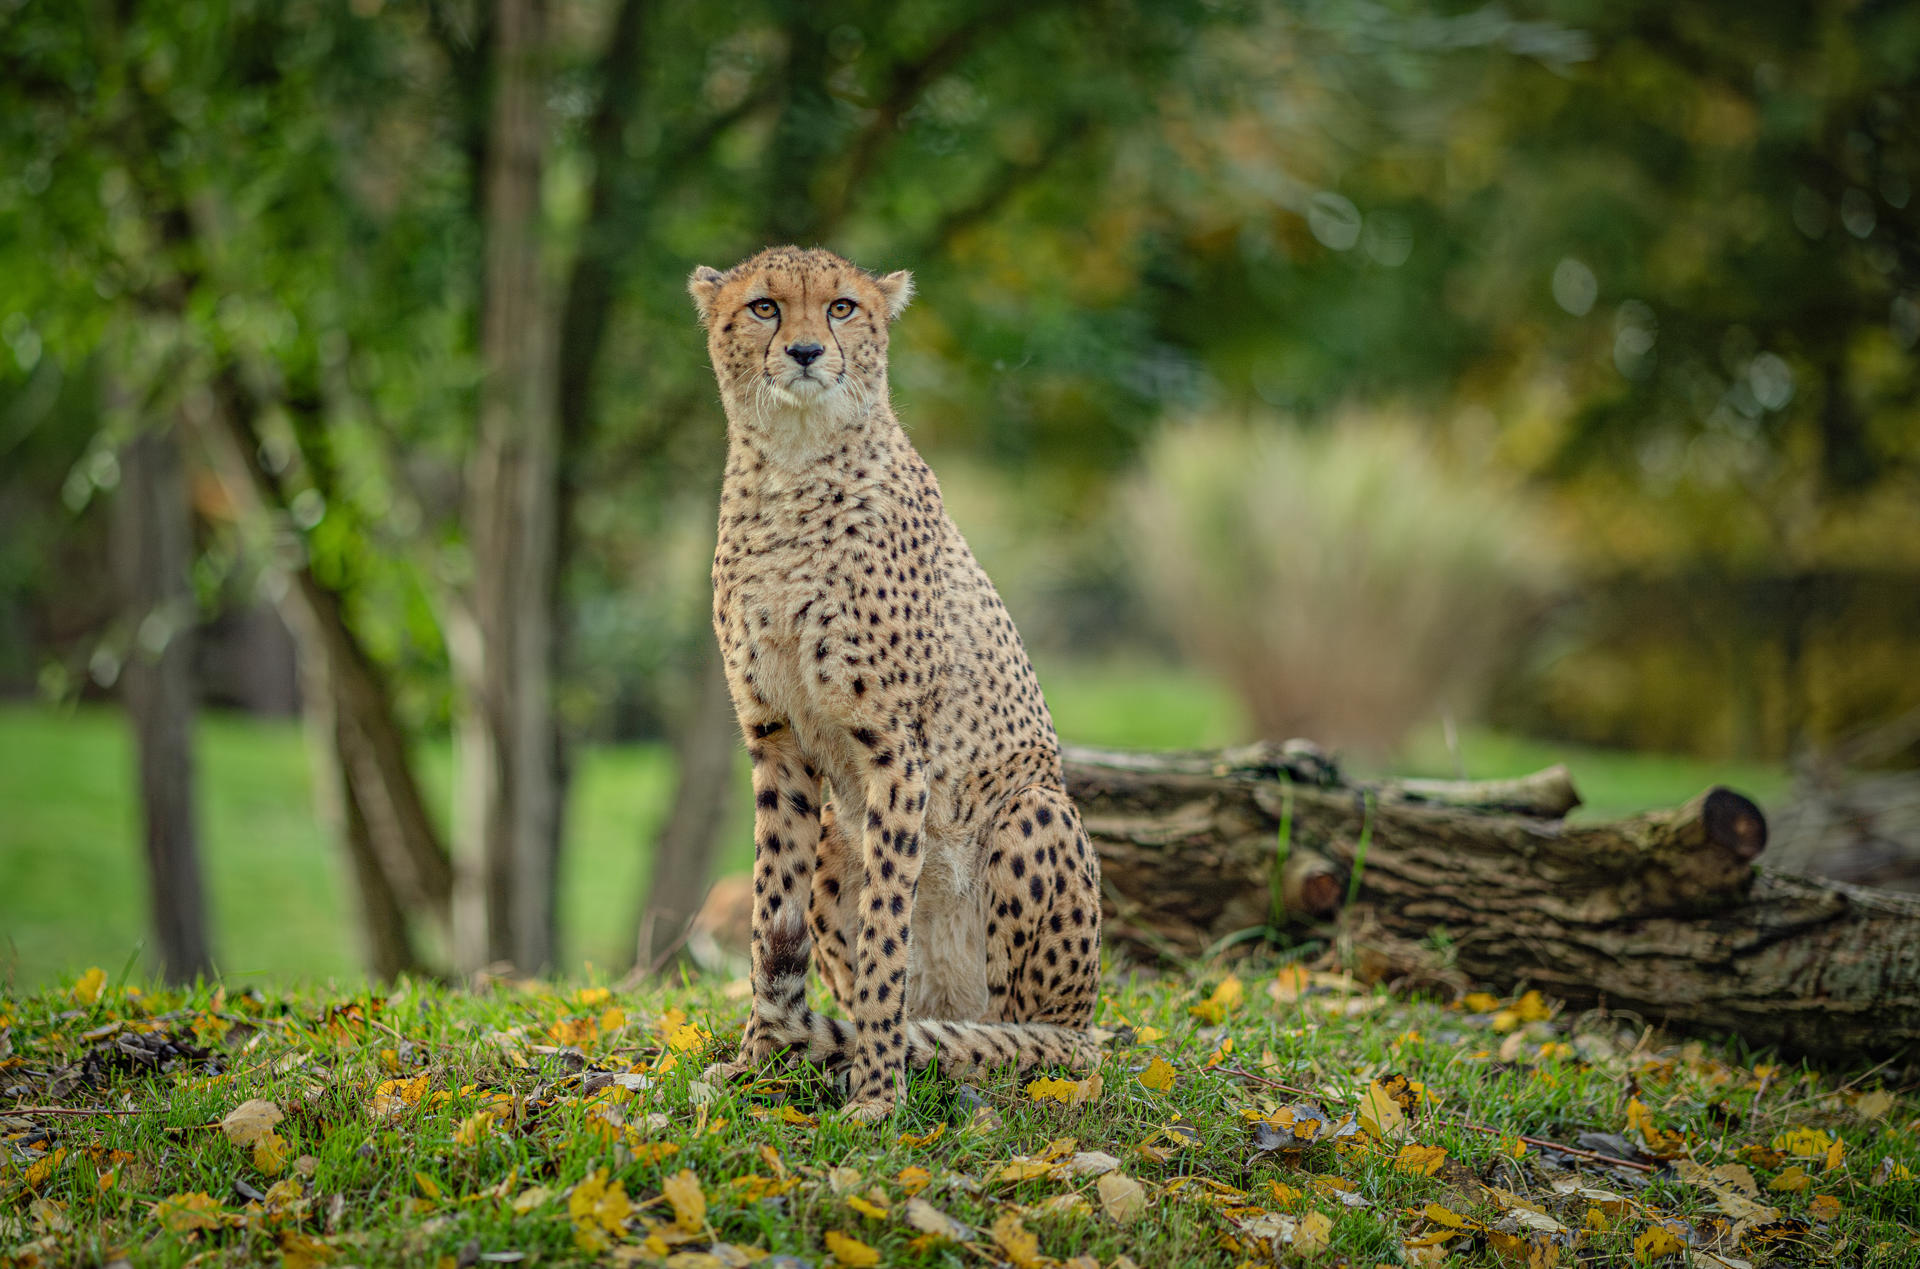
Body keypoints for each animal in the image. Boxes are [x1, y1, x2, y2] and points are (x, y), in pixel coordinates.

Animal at [688, 245, 1103, 1121]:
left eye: (841, 307)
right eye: (765, 307)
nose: (806, 352)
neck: (792, 470)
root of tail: (1087, 1026)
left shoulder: (894, 752)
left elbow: (884, 933)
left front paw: (879, 1094)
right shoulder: (775, 742)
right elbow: (769, 915)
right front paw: (759, 1064)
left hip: (1032, 810)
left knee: (1021, 1037)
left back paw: (987, 1070)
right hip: (834, 837)